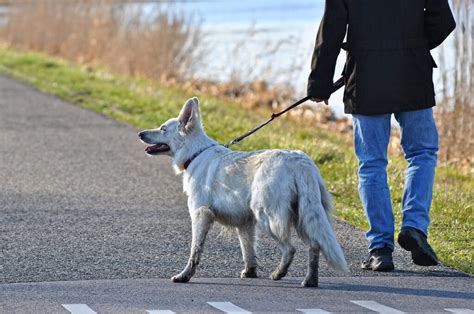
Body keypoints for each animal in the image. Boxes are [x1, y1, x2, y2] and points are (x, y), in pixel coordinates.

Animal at [139, 98, 346, 288]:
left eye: (163, 129)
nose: (140, 133)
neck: (195, 153)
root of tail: (299, 161)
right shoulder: (245, 223)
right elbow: (248, 251)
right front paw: (250, 272)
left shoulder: (200, 215)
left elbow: (195, 251)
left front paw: (184, 276)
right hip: (303, 217)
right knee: (315, 246)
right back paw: (310, 280)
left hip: (268, 217)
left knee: (290, 249)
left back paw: (279, 273)